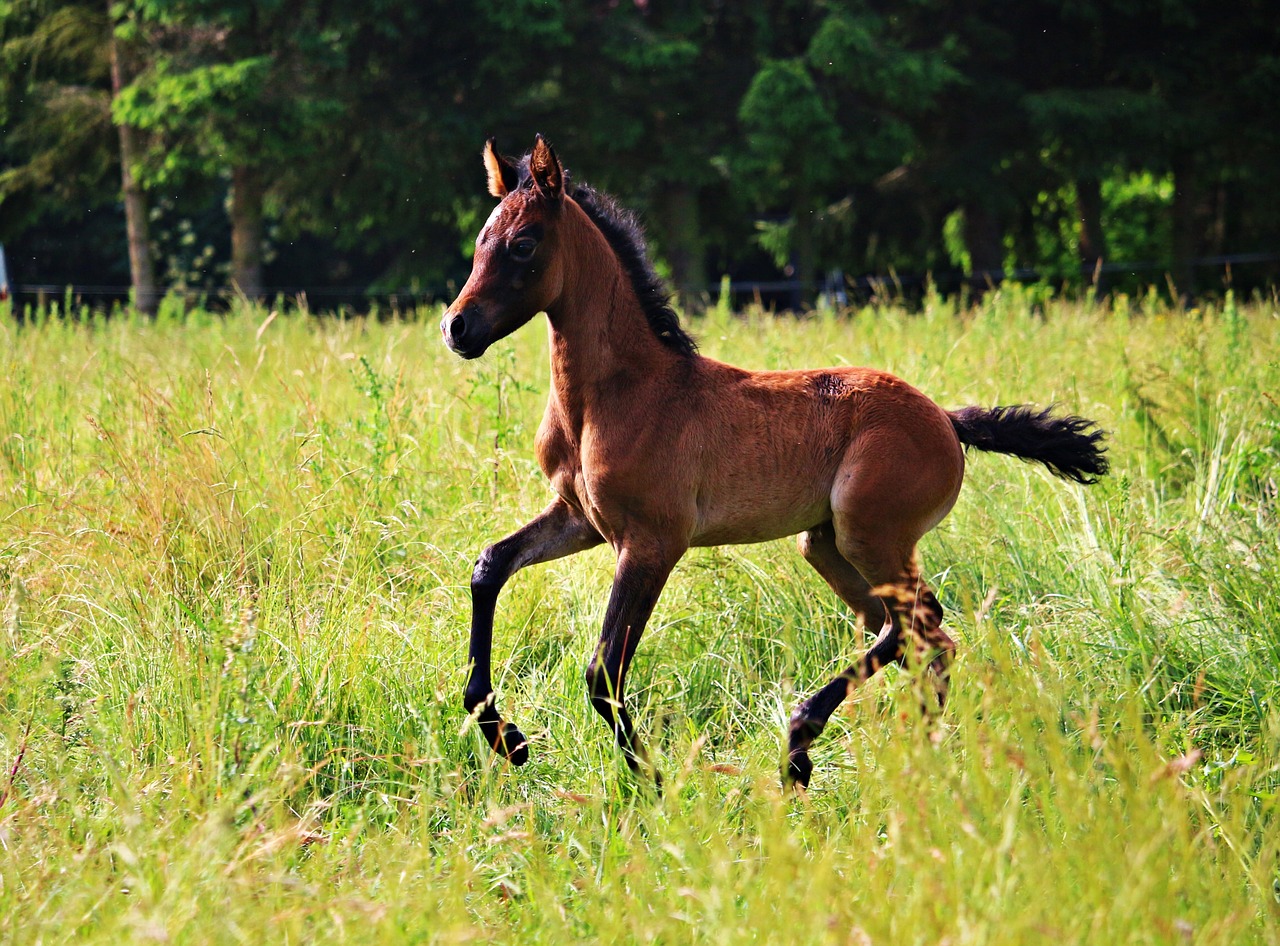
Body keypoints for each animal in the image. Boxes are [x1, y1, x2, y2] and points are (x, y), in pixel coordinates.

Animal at [437, 136, 1100, 788]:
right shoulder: (580, 518)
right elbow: (490, 566)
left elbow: (603, 671)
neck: (616, 395)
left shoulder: (652, 541)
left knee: (919, 622)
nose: (456, 328)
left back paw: (802, 745)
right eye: (479, 241)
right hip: (827, 545)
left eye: (524, 244)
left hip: (871, 536)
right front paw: (504, 735)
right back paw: (918, 756)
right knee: (923, 637)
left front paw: (652, 784)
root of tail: (944, 417)